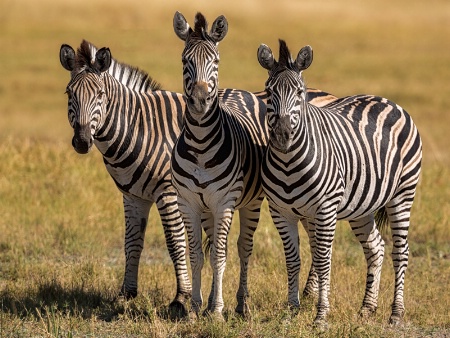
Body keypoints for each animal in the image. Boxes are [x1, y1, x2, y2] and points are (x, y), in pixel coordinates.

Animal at [58, 40, 192, 316]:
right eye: (69, 94)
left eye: (100, 95)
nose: (82, 142)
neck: (141, 127)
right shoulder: (133, 196)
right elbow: (132, 243)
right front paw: (126, 294)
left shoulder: (169, 193)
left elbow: (175, 243)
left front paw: (181, 298)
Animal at [256, 40, 422, 328]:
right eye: (268, 92)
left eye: (300, 92)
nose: (282, 136)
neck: (288, 163)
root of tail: (389, 101)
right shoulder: (280, 212)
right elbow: (292, 260)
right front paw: (291, 311)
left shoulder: (325, 209)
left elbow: (323, 259)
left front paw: (321, 315)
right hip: (362, 206)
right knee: (376, 247)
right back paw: (367, 308)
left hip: (403, 194)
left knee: (401, 252)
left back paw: (396, 314)